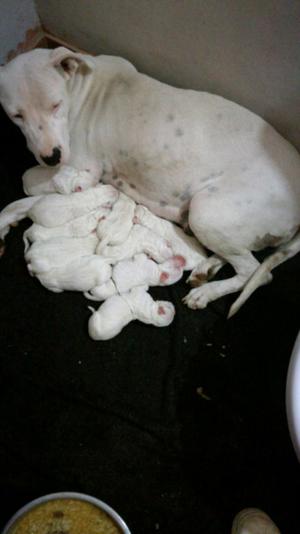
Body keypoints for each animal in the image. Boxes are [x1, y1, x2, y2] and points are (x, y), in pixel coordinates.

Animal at [0, 47, 300, 318]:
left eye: (56, 104)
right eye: (17, 115)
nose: (51, 156)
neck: (79, 88)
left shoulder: (82, 168)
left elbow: (27, 184)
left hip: (207, 211)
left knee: (256, 273)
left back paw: (206, 293)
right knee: (241, 257)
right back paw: (207, 269)